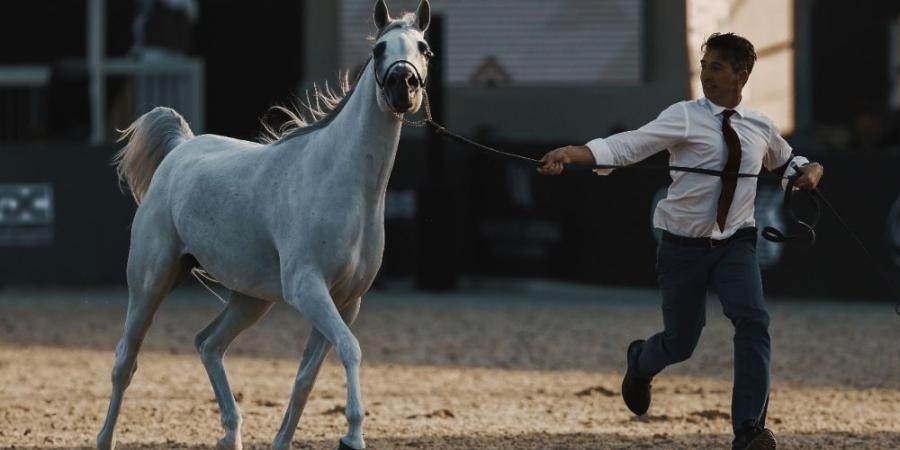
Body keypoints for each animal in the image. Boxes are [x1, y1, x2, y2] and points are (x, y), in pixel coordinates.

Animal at [96, 1, 434, 448]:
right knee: (125, 362)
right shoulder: (308, 286)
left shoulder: (346, 300)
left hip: (250, 299)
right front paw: (353, 434)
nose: (402, 87)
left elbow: (305, 378)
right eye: (379, 49)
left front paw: (284, 440)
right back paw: (105, 437)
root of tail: (181, 149)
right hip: (151, 282)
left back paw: (230, 434)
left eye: (424, 48)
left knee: (208, 344)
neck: (338, 180)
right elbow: (350, 349)